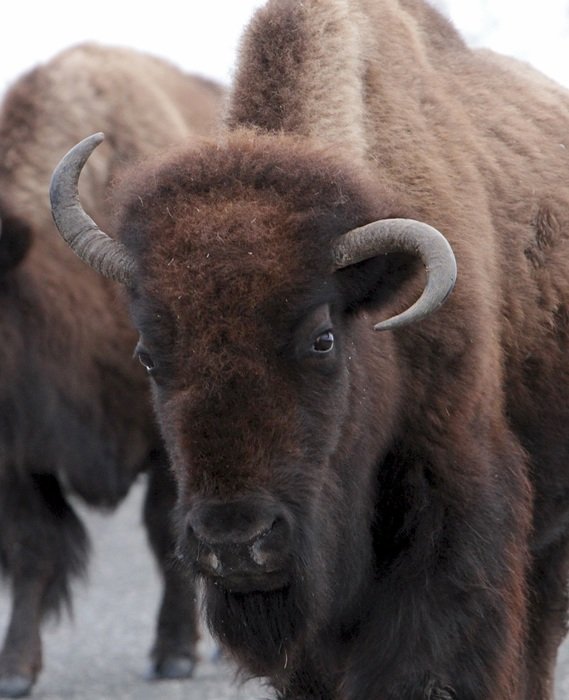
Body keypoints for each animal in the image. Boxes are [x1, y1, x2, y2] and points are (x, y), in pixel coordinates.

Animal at [0, 45, 222, 700]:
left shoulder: (168, 438)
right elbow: (32, 548)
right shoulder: (20, 455)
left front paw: (173, 655)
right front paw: (15, 669)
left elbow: (167, 533)